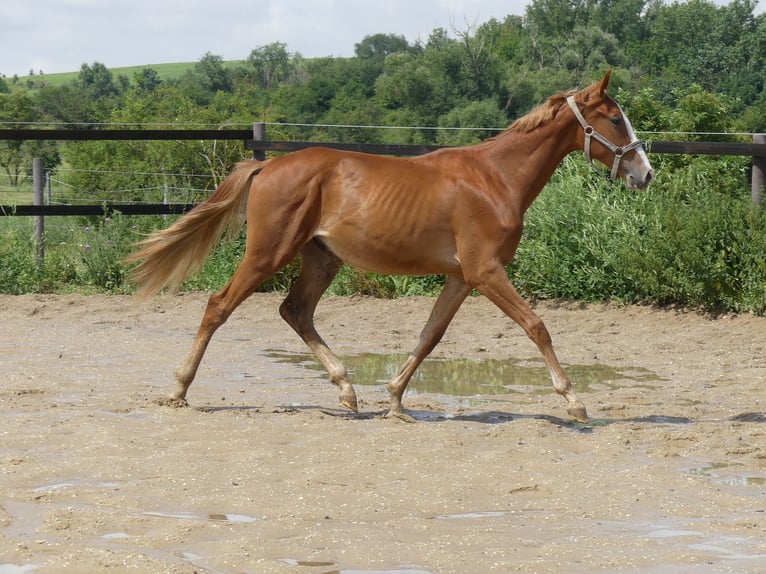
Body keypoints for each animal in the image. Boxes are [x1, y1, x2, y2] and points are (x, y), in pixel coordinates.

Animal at [126, 71, 653, 423]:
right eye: (614, 119)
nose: (644, 173)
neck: (495, 179)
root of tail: (267, 165)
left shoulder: (462, 276)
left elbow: (430, 335)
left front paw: (396, 399)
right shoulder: (485, 271)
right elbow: (537, 326)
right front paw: (575, 402)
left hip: (322, 259)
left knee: (295, 311)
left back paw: (347, 392)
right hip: (267, 253)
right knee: (219, 306)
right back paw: (178, 390)